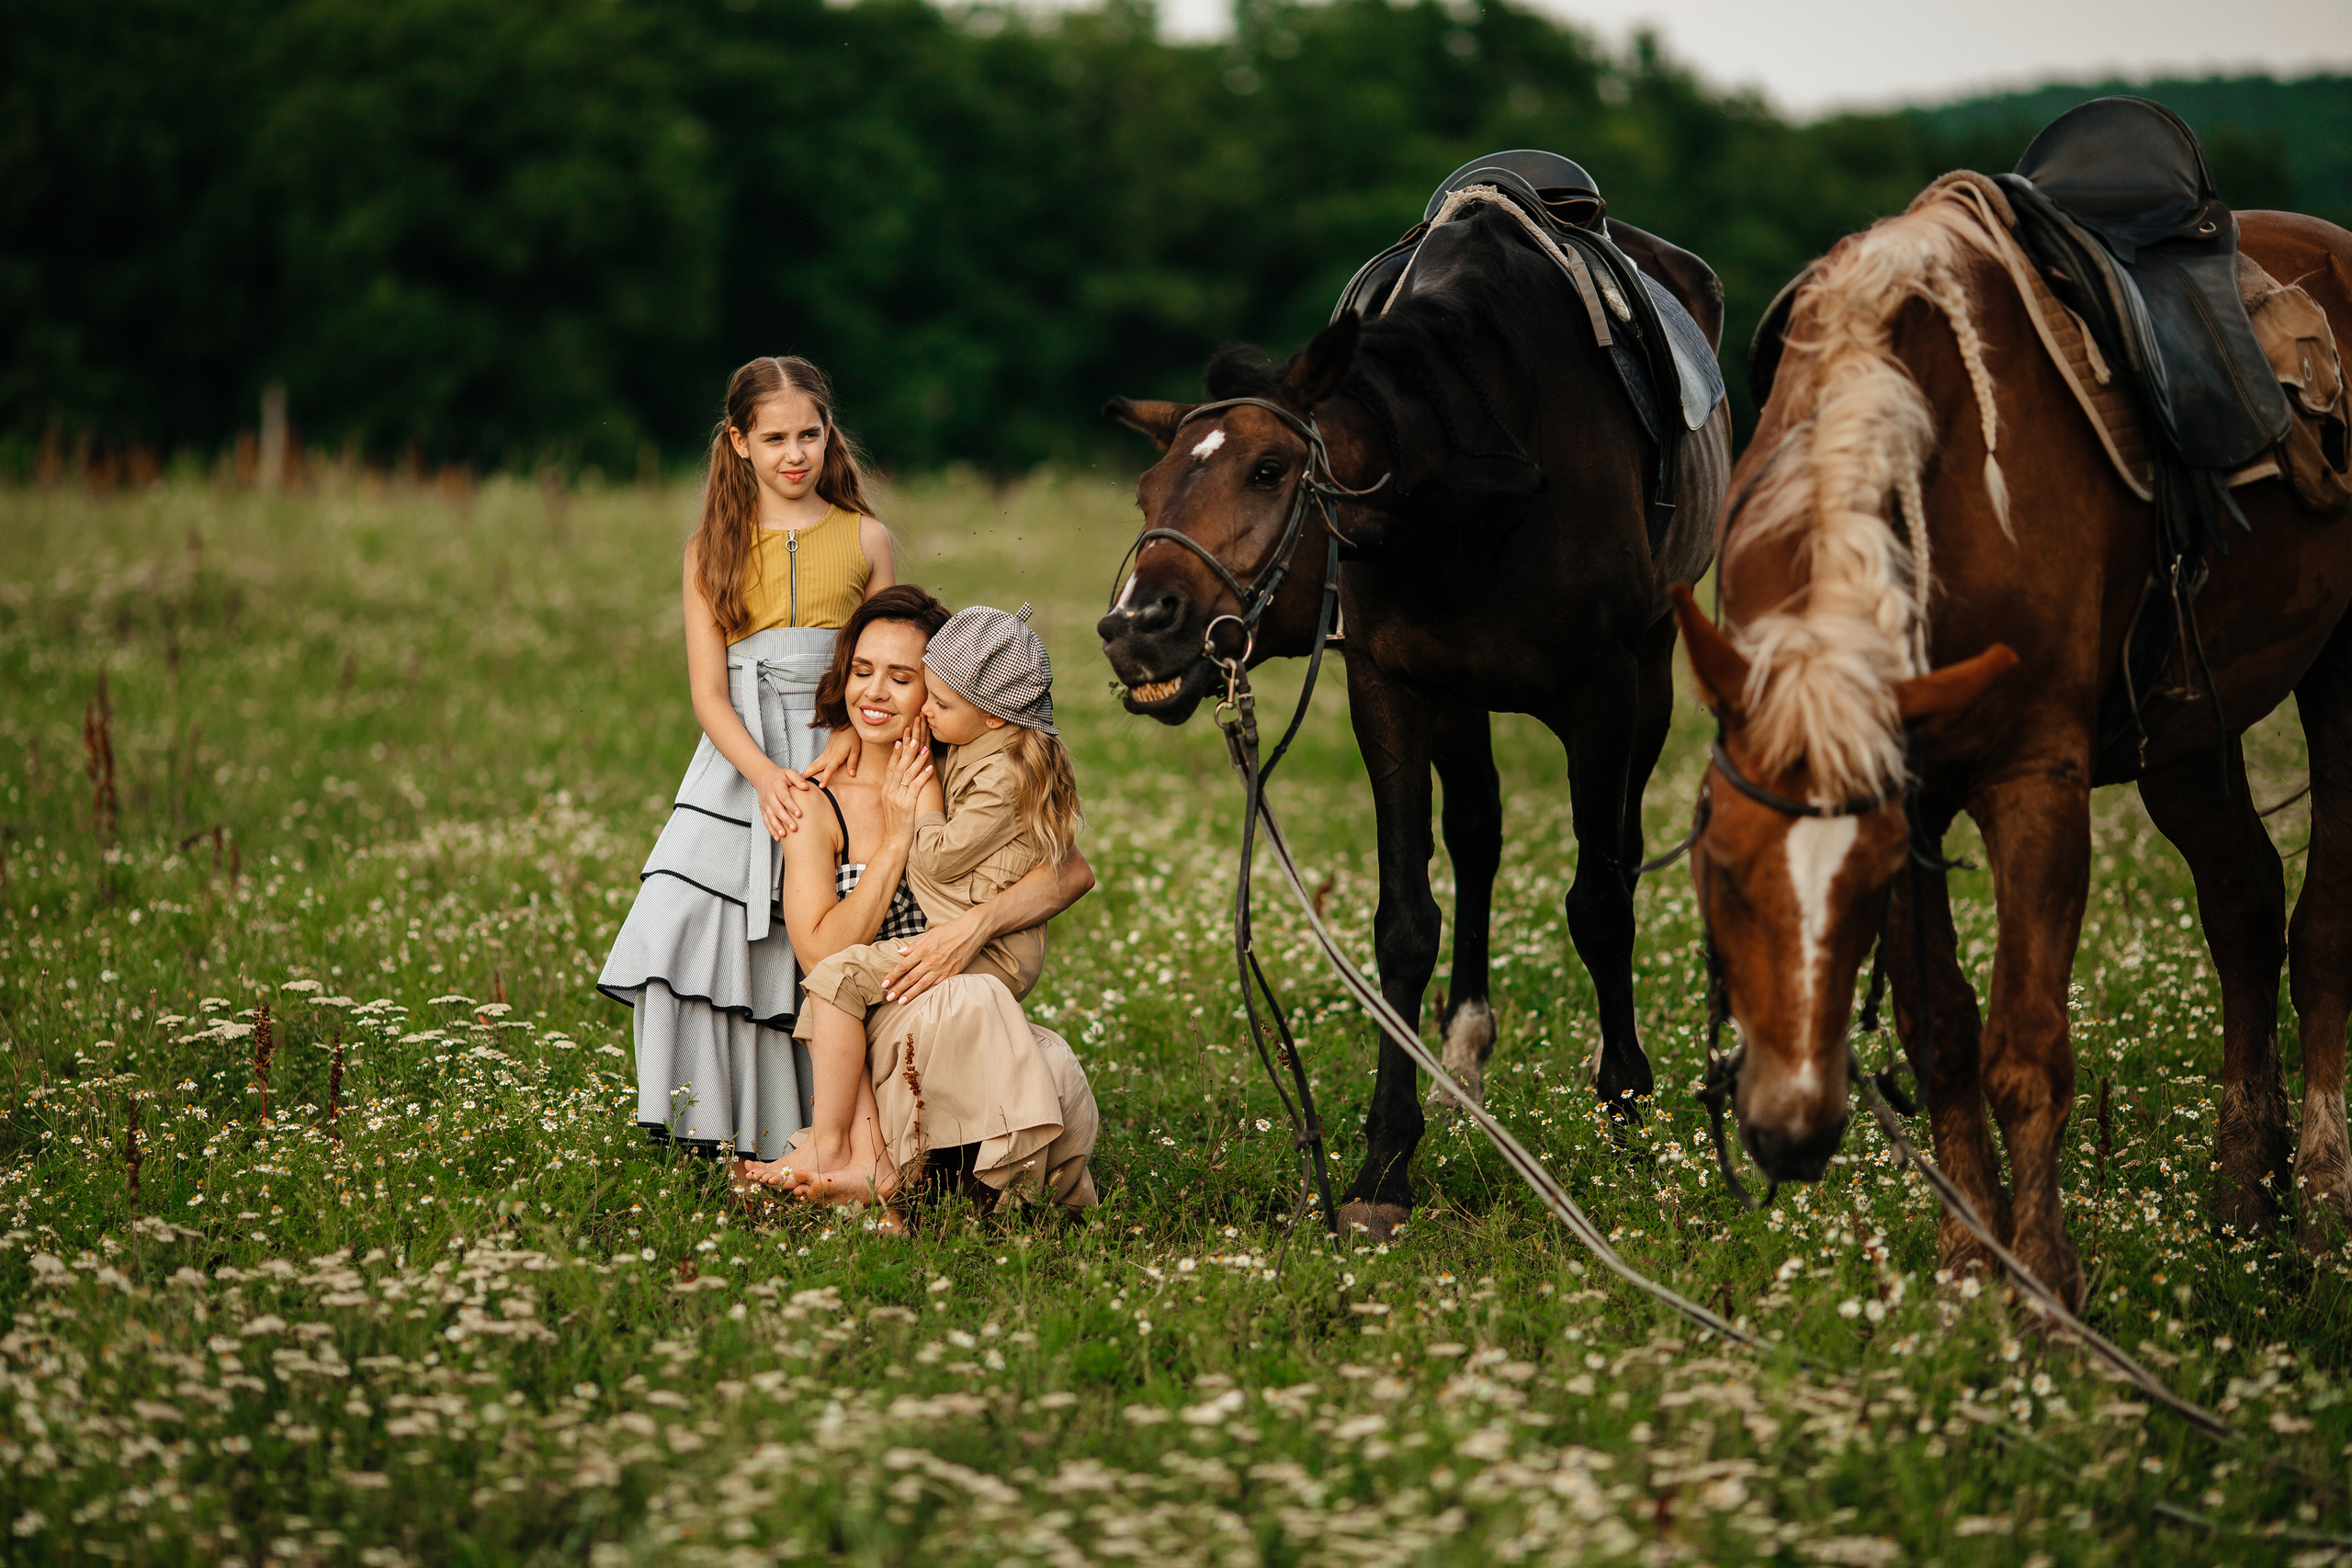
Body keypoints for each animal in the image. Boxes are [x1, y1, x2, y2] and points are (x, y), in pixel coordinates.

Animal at [1096, 193, 1731, 1239]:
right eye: (1149, 491)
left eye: (1270, 471)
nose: (1134, 625)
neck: (1476, 478)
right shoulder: (1390, 689)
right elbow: (1405, 921)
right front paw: (1384, 1164)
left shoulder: (1604, 691)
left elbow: (1599, 905)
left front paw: (1627, 1110)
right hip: (1461, 702)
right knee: (1477, 832)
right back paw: (1462, 1051)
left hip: (1651, 674)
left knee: (1621, 854)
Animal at [1666, 179, 2352, 1302]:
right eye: (1718, 869)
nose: (1790, 1132)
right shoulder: (1912, 795)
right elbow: (1939, 1031)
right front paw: (1963, 1270)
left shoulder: (2034, 782)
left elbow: (2025, 1049)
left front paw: (2043, 1290)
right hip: (2185, 738)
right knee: (2244, 908)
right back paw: (2242, 1199)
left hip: (2340, 681)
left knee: (2321, 925)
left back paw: (2323, 1203)